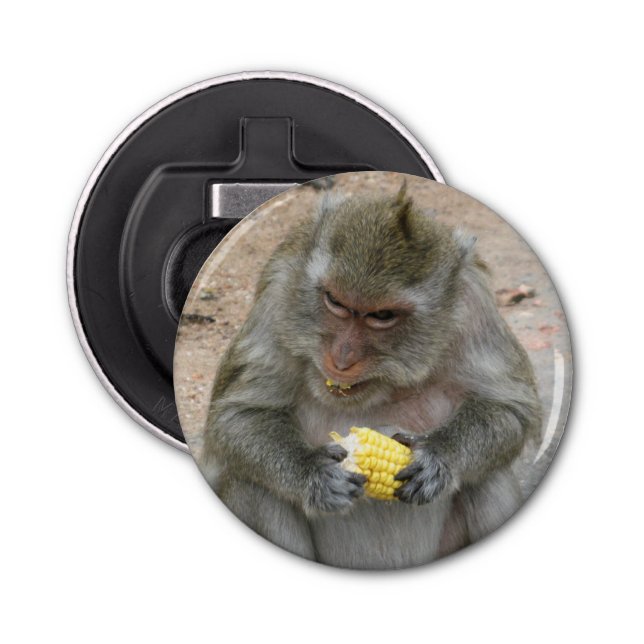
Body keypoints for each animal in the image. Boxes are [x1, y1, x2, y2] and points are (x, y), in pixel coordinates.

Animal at [199, 184, 542, 570]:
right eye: (335, 301)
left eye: (382, 316)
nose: (342, 358)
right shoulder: (279, 288)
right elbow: (238, 417)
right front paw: (313, 473)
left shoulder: (475, 304)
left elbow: (508, 406)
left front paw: (438, 456)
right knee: (253, 485)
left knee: (488, 477)